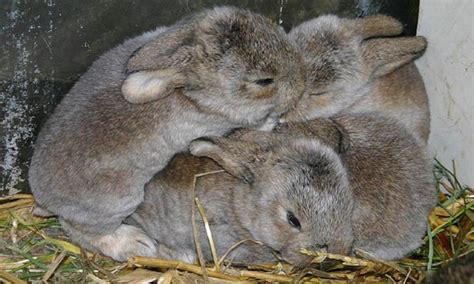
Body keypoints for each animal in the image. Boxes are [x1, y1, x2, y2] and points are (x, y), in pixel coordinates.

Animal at [29, 6, 306, 260]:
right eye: (264, 81)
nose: (302, 84)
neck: (193, 94)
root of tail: (42, 196)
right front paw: (273, 121)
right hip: (117, 202)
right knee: (82, 230)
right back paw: (138, 244)